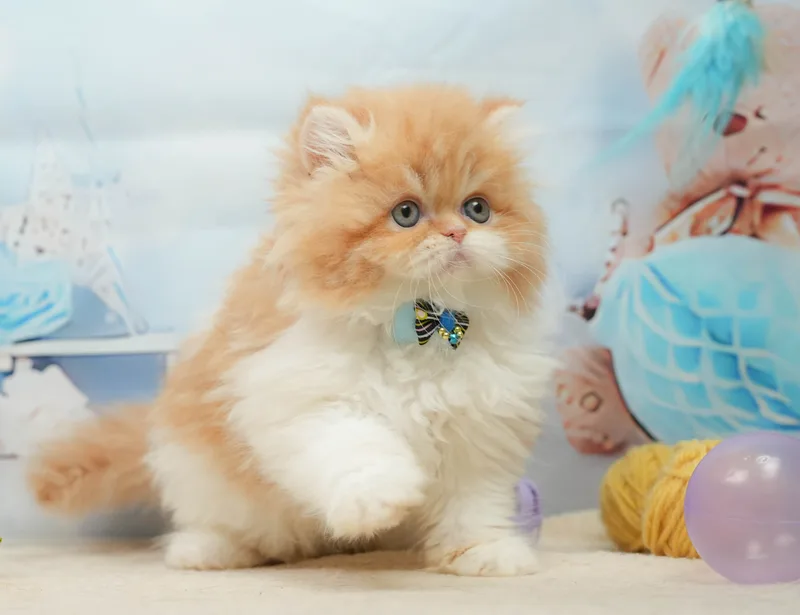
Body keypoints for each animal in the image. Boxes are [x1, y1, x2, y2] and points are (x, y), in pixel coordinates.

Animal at [27, 84, 557, 576]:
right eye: (406, 213)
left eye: (477, 209)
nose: (457, 233)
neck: (420, 325)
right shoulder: (298, 396)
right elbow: (358, 445)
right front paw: (380, 497)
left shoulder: (481, 430)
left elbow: (474, 505)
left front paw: (484, 552)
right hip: (199, 469)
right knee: (226, 524)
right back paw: (208, 550)